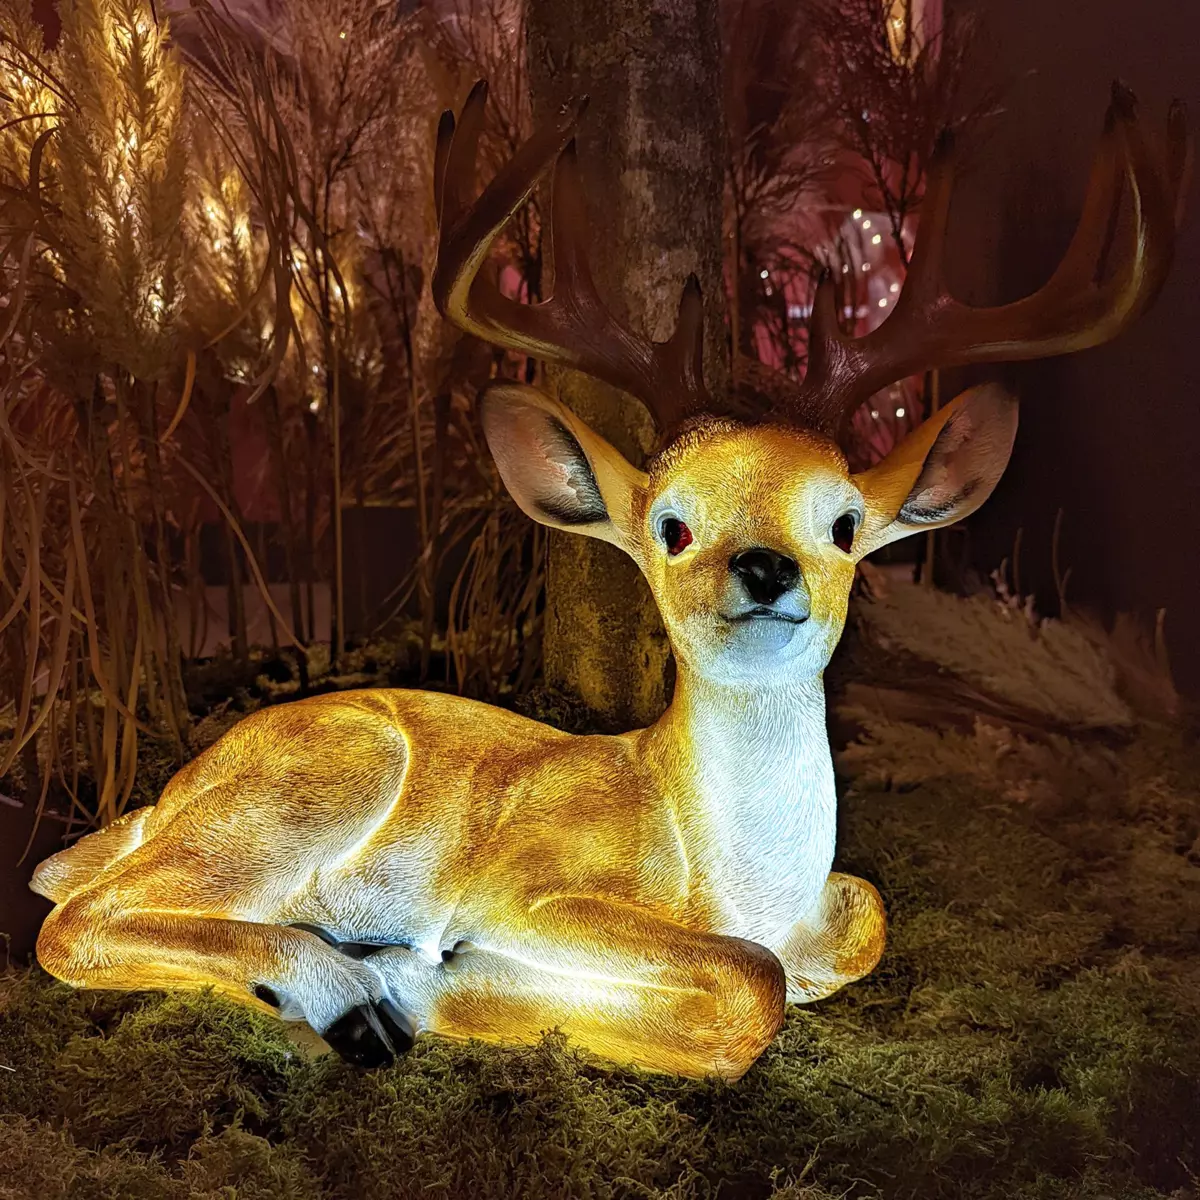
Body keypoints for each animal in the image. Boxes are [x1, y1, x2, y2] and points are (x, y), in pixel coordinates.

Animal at [31, 81, 1187, 1079]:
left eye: (846, 522)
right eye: (672, 524)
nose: (763, 565)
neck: (734, 879)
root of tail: (167, 794)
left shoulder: (835, 910)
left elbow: (860, 918)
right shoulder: (533, 886)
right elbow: (752, 983)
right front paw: (427, 983)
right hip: (312, 783)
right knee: (73, 920)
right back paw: (346, 991)